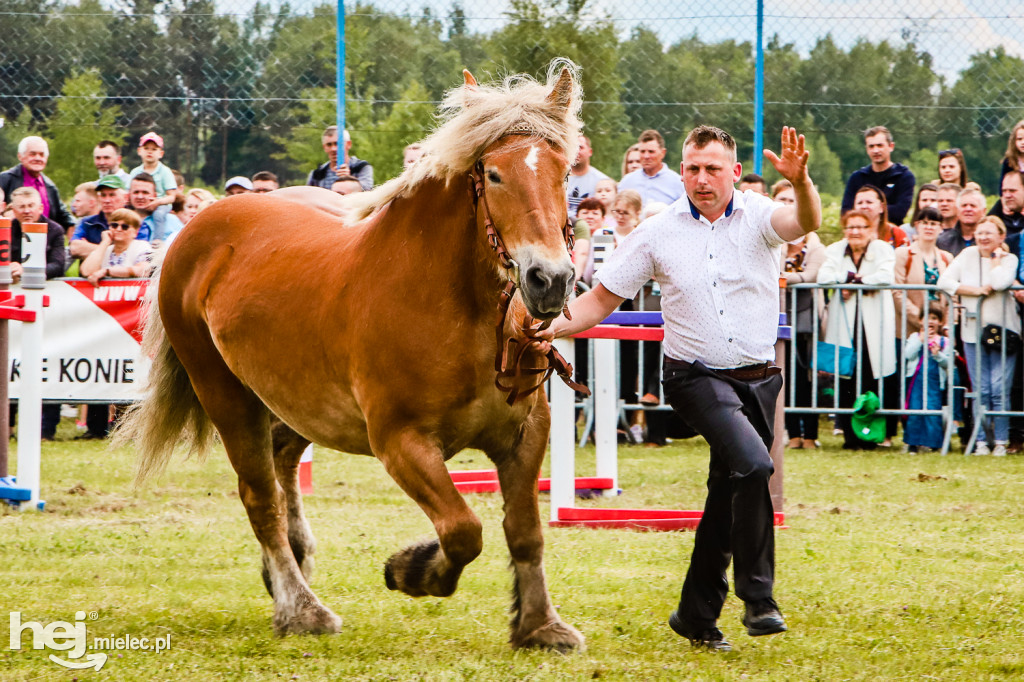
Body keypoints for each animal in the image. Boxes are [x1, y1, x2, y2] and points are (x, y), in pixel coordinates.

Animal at [114, 62, 585, 647]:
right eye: (494, 175)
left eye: (563, 174)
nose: (551, 280)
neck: (456, 307)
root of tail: (193, 231)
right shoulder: (401, 443)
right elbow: (462, 530)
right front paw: (413, 569)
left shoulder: (524, 437)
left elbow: (524, 532)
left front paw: (540, 624)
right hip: (227, 397)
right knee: (261, 498)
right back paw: (300, 608)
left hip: (294, 401)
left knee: (282, 463)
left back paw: (292, 563)